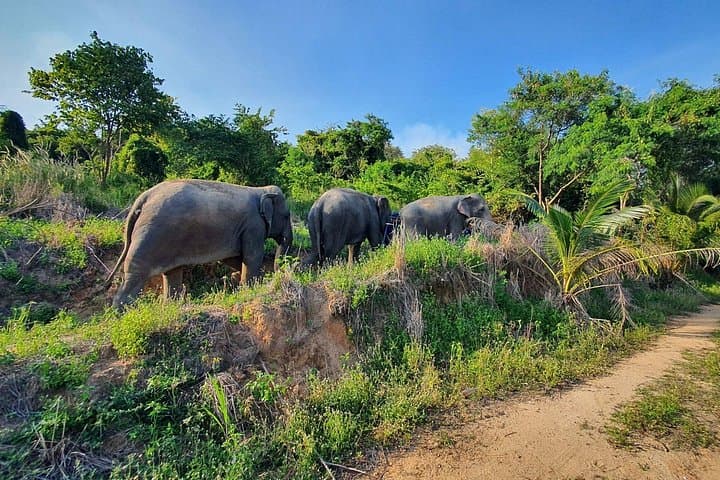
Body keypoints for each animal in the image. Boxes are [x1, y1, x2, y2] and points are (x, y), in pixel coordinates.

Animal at [106, 179, 293, 308]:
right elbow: (252, 256)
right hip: (151, 235)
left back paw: (171, 306)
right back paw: (121, 313)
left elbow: (233, 257)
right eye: (286, 216)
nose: (277, 276)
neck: (261, 190)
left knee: (171, 273)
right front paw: (252, 287)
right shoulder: (253, 225)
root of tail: (143, 198)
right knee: (136, 273)